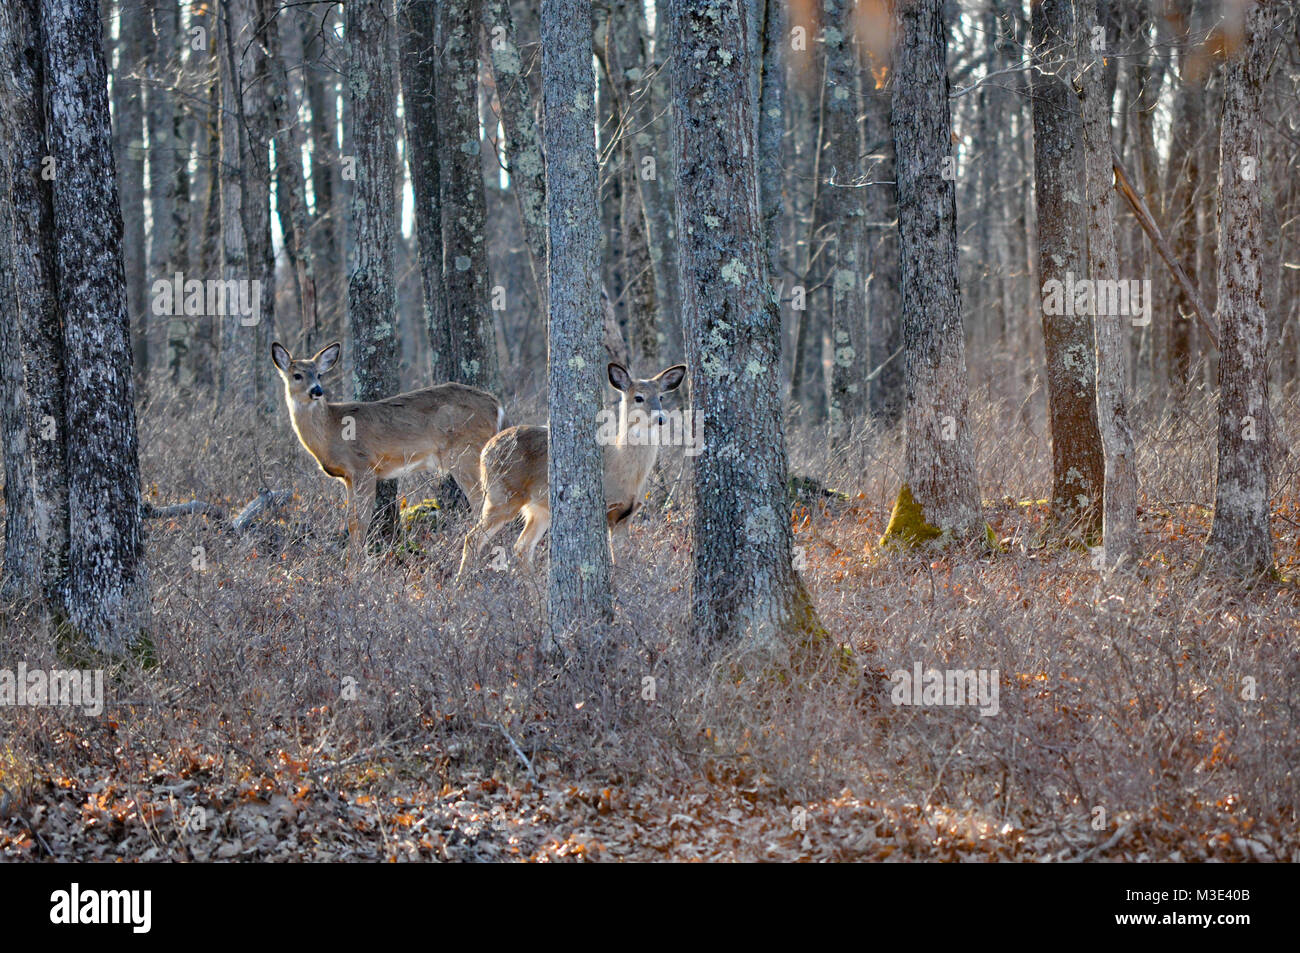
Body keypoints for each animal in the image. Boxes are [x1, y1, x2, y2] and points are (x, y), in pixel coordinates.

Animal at [269, 340, 501, 556]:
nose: (317, 390)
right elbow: (351, 521)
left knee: (484, 502)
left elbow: (360, 522)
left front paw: (356, 566)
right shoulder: (348, 478)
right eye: (297, 375)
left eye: (318, 374)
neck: (331, 431)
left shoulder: (364, 467)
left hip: (467, 453)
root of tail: (496, 405)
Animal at [452, 358, 686, 577]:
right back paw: (461, 584)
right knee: (473, 538)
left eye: (661, 397)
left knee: (522, 547)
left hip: (539, 509)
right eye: (638, 397)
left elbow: (622, 561)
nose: (661, 419)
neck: (625, 471)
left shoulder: (626, 516)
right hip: (501, 495)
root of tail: (485, 450)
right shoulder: (606, 509)